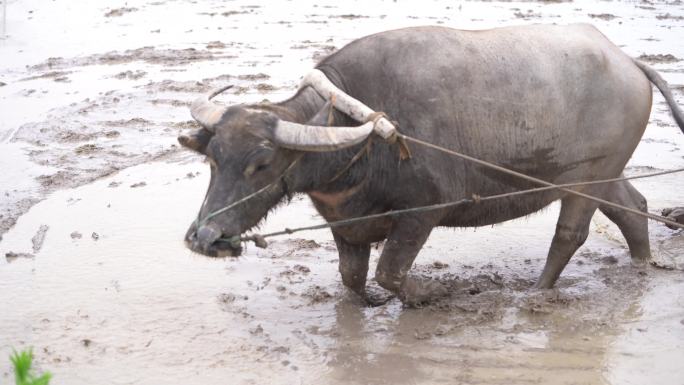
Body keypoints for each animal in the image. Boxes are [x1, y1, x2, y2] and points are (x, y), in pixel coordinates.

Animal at [178, 24, 684, 306]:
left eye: (262, 163)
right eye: (213, 158)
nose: (205, 237)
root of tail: (629, 63)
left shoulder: (421, 215)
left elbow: (390, 274)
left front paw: (438, 295)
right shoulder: (346, 225)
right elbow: (351, 279)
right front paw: (365, 305)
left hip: (588, 178)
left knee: (570, 234)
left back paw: (537, 293)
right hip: (603, 173)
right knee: (632, 208)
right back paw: (643, 264)